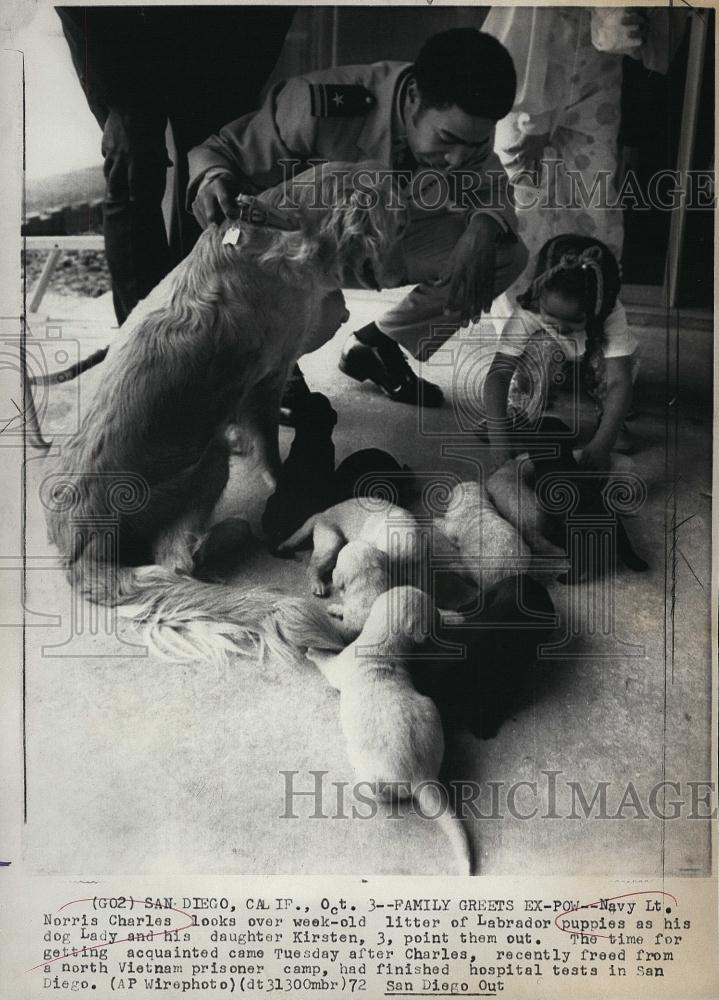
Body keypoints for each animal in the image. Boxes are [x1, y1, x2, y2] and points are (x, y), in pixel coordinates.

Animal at [306, 584, 476, 876]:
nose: (441, 620)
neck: (384, 644)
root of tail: (422, 777)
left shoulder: (339, 665)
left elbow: (326, 662)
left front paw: (312, 650)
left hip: (373, 777)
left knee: (380, 796)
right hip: (430, 707)